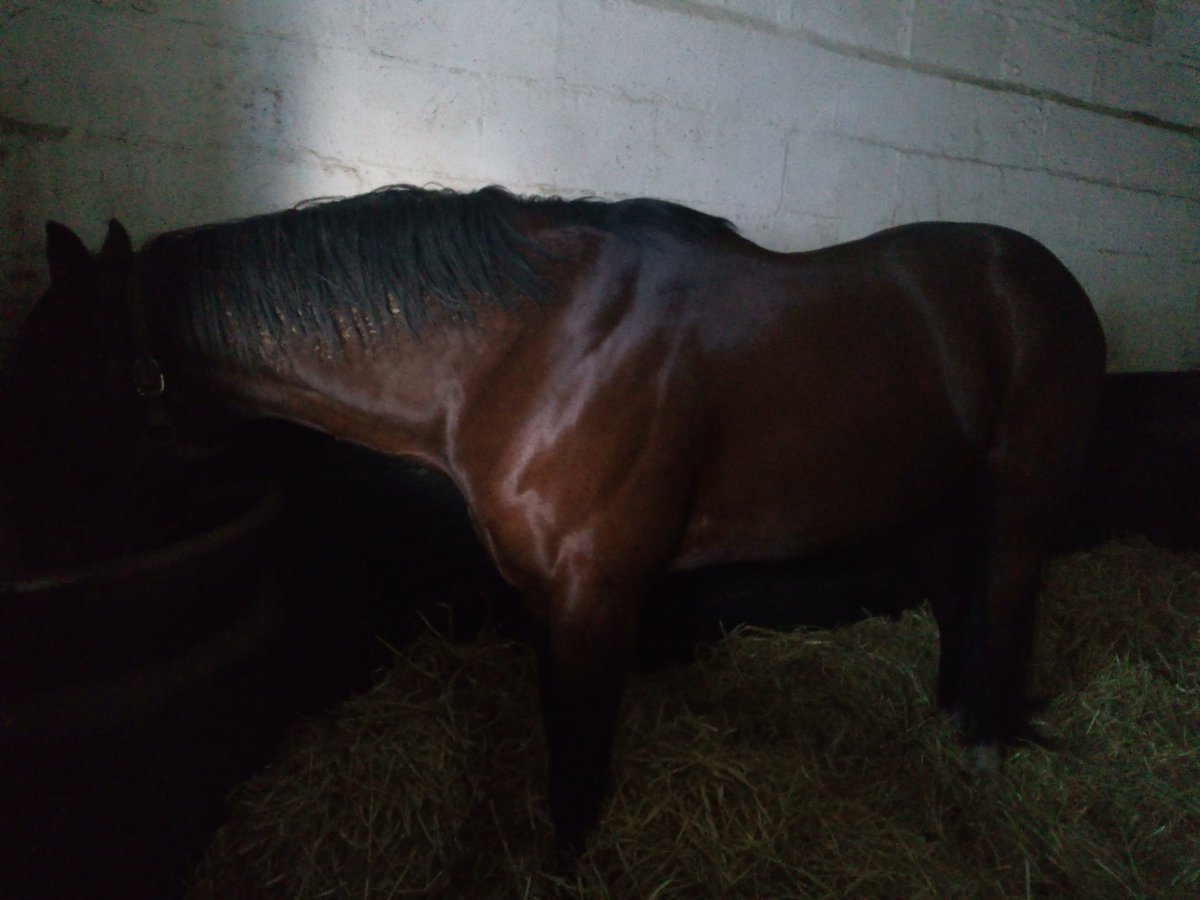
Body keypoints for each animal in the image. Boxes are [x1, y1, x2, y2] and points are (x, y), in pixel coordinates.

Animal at [7, 185, 1106, 852]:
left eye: (56, 377)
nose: (38, 554)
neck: (532, 351)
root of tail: (1037, 273)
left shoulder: (596, 597)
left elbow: (578, 764)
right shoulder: (548, 597)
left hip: (1022, 492)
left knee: (1010, 594)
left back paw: (986, 745)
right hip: (933, 499)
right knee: (959, 597)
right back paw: (949, 721)